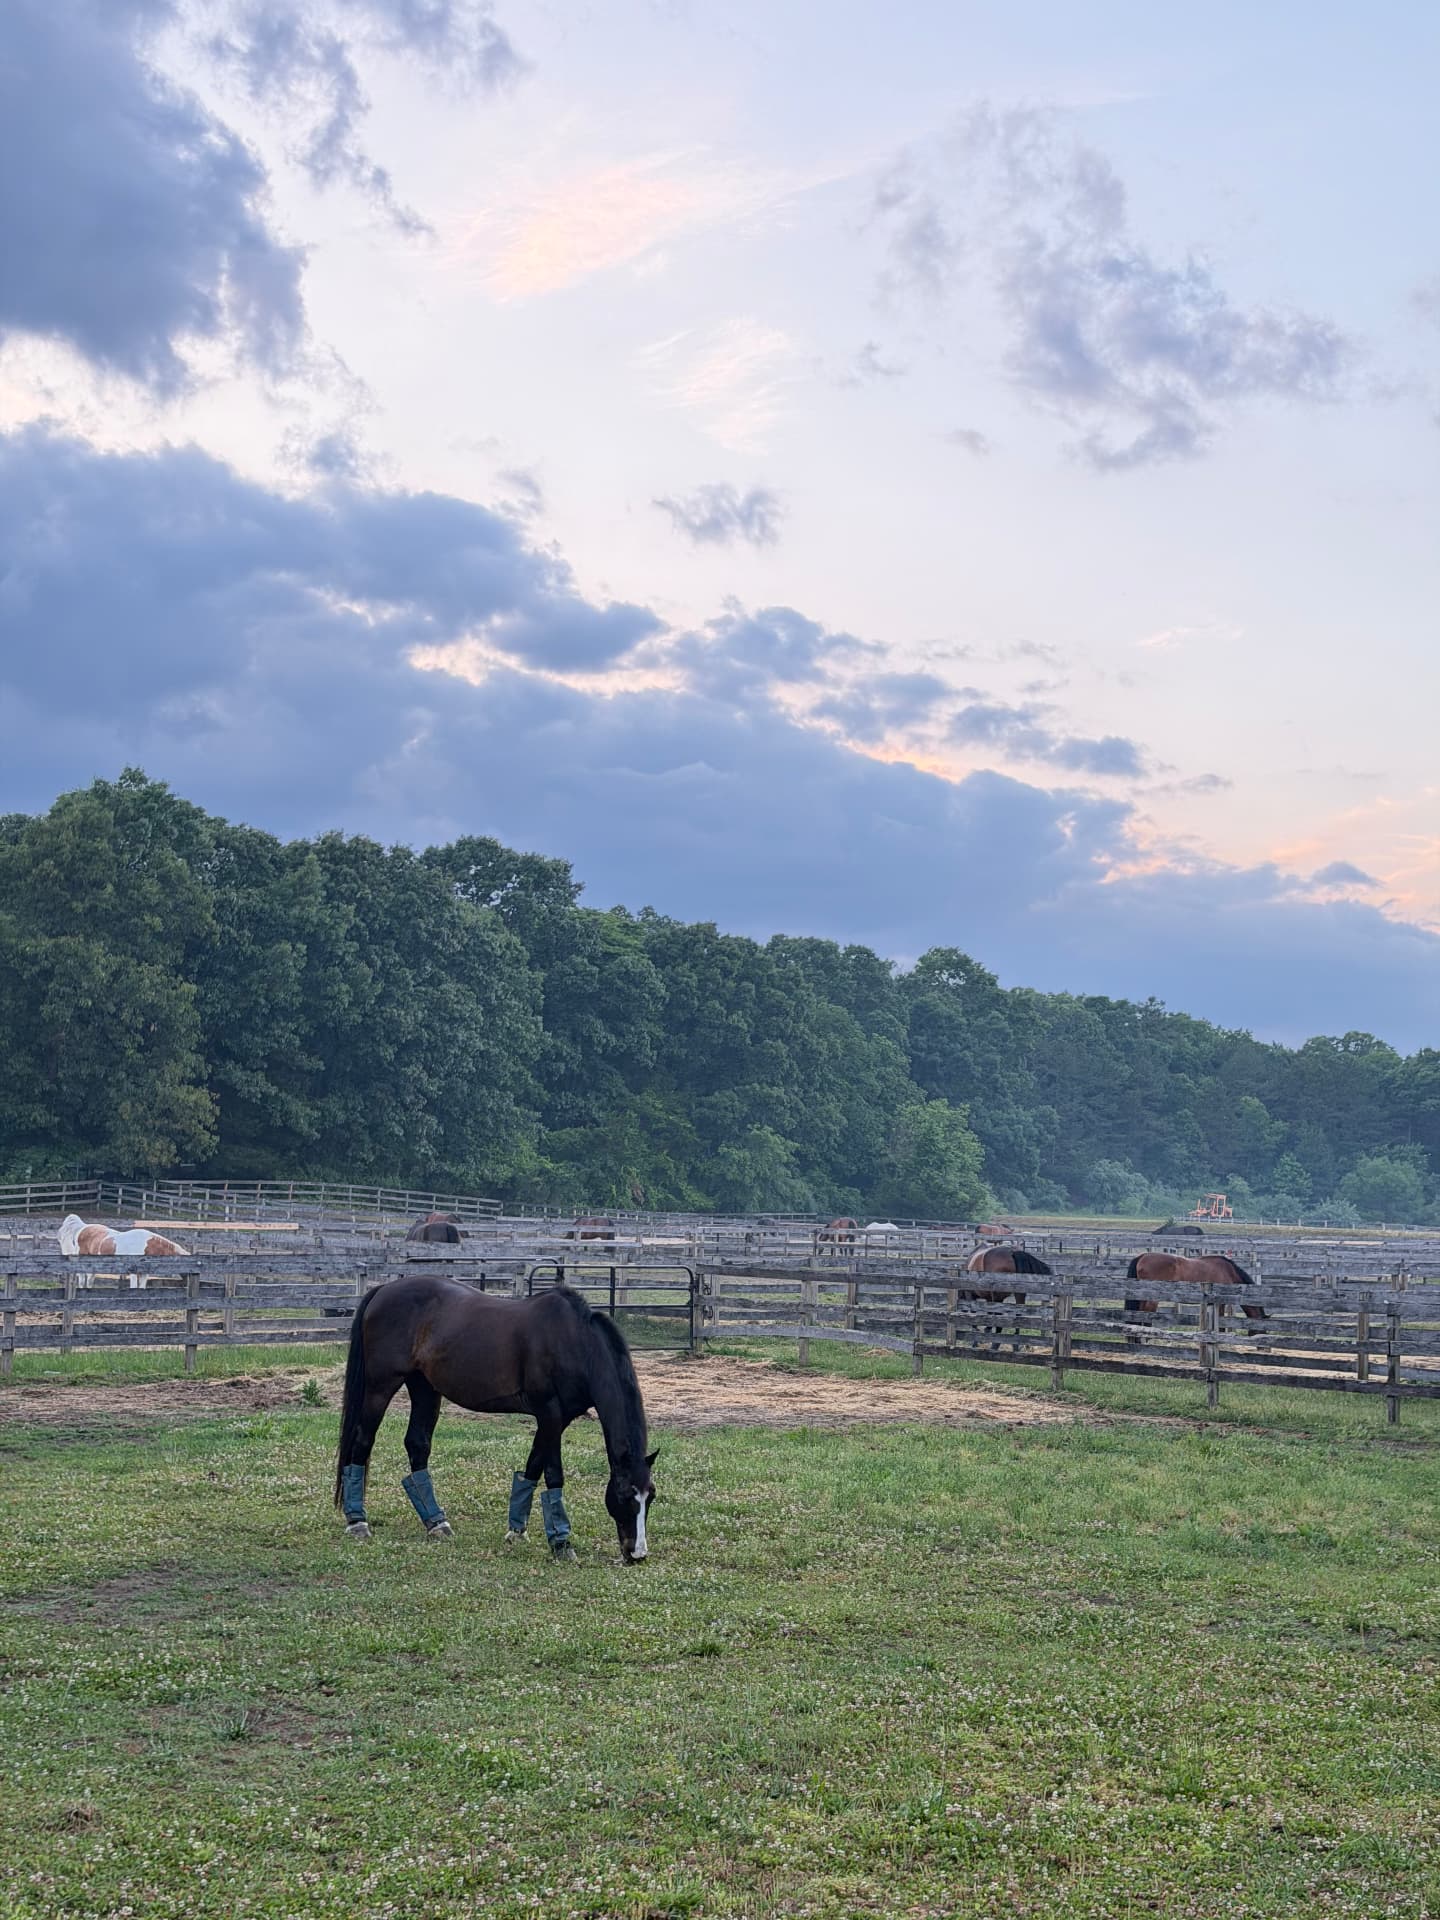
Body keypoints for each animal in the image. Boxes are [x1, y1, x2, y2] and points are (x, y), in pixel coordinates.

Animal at [333, 1276, 657, 1562]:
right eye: (624, 1495)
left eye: (650, 1496)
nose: (636, 1554)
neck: (574, 1343)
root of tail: (383, 1290)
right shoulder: (549, 1413)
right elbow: (553, 1474)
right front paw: (561, 1543)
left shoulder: (557, 1418)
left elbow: (533, 1467)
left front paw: (517, 1532)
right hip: (380, 1386)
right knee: (362, 1441)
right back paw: (357, 1522)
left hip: (424, 1387)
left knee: (417, 1445)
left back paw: (436, 1522)